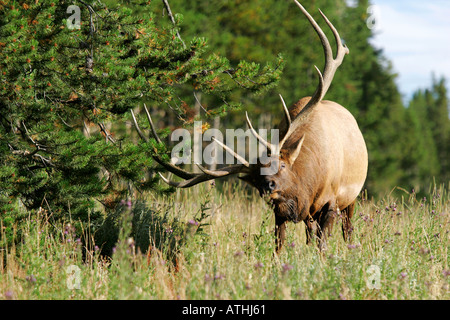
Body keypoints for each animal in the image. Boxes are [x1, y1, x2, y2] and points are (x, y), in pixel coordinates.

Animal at [129, 1, 366, 252]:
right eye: (256, 176)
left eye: (282, 165)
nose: (268, 186)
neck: (310, 181)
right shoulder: (281, 213)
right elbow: (279, 245)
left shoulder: (332, 200)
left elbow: (323, 245)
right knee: (310, 232)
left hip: (352, 197)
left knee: (348, 229)